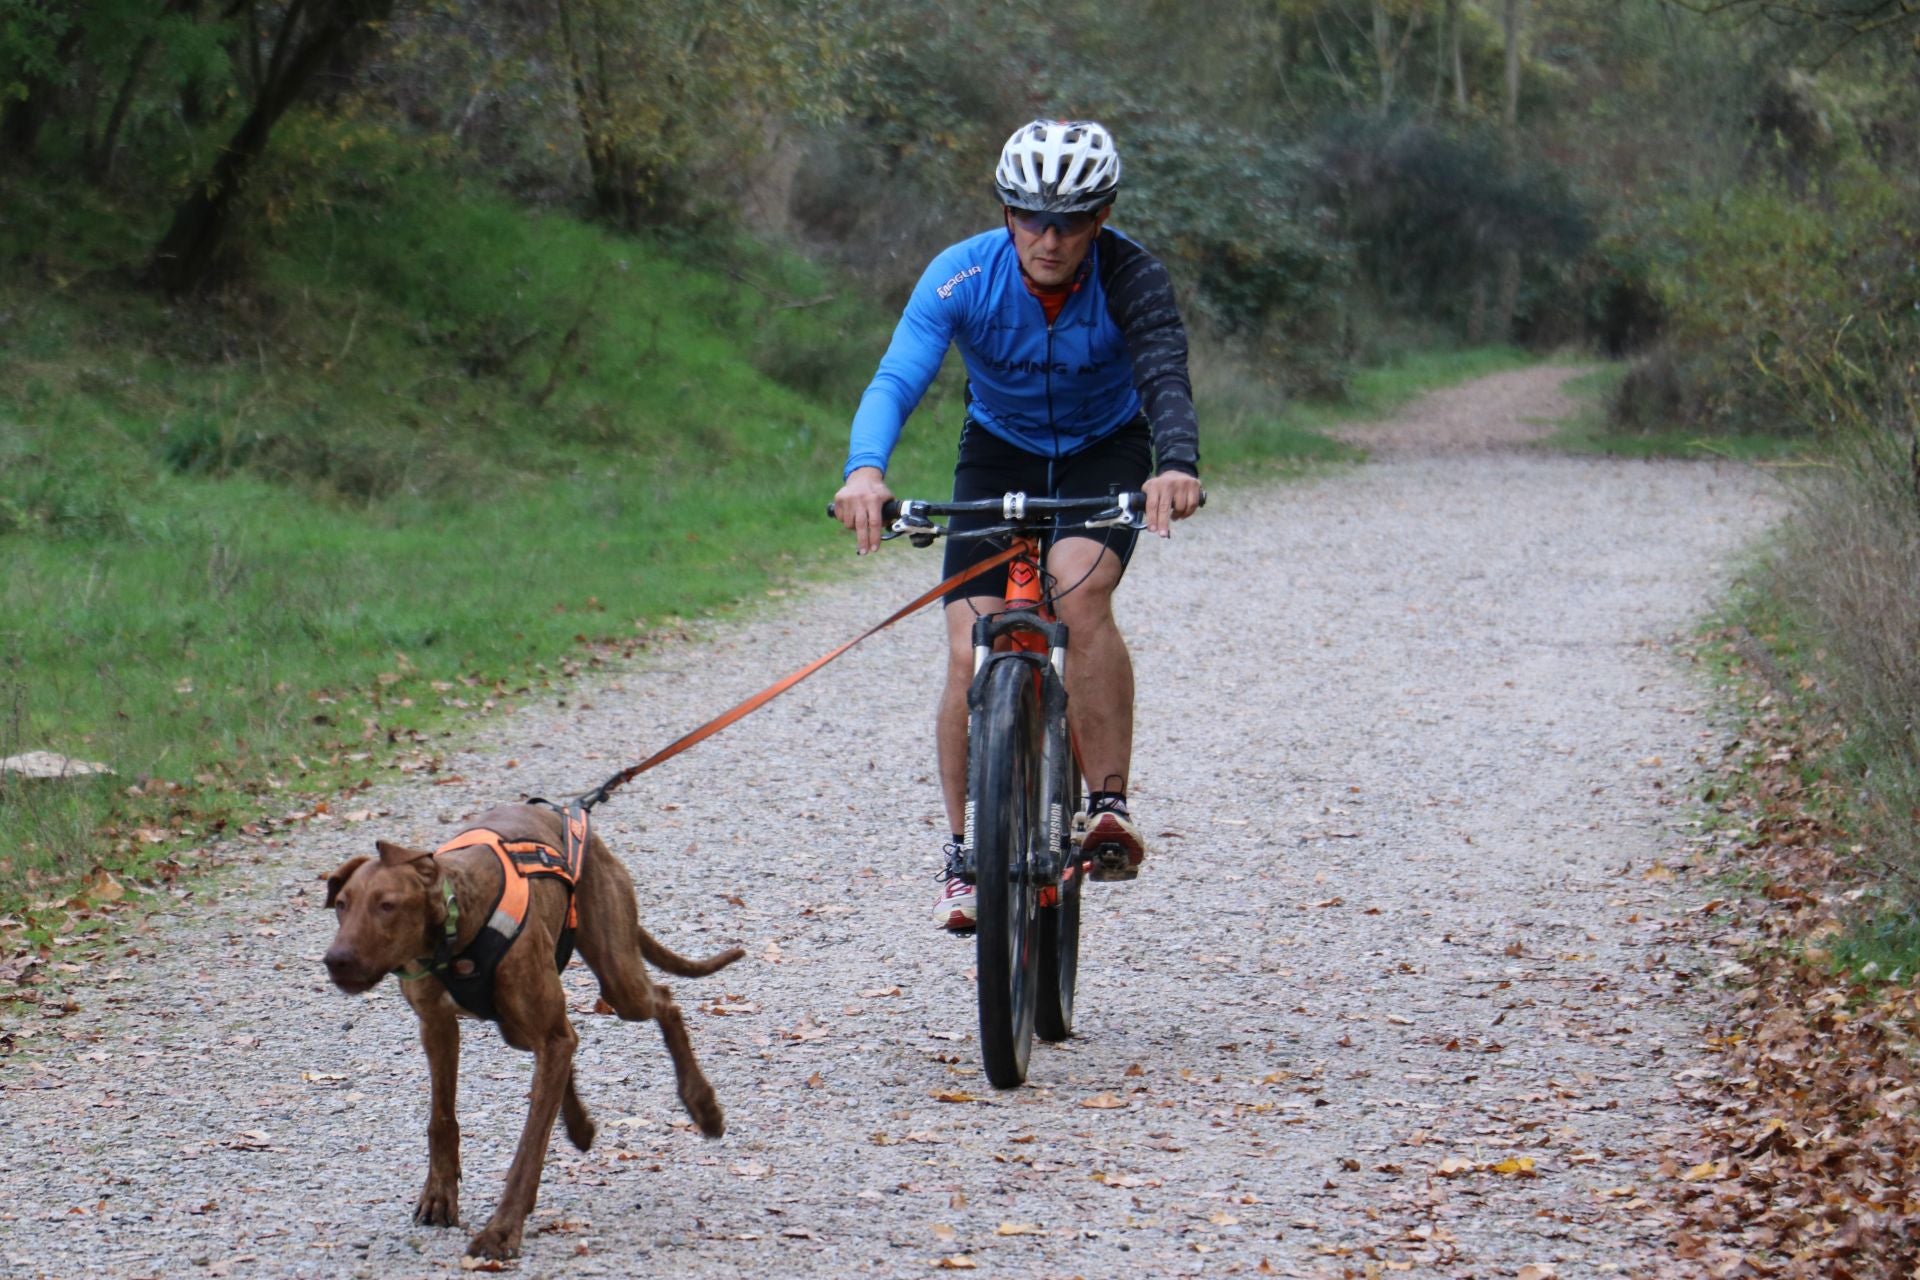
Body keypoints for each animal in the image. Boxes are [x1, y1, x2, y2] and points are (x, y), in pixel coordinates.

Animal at [322, 802, 741, 1258]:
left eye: (387, 905)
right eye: (342, 904)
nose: (335, 960)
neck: (456, 930)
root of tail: (574, 816)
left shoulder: (539, 1033)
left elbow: (529, 1148)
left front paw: (502, 1230)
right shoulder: (436, 1026)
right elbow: (441, 1119)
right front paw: (439, 1195)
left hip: (618, 981)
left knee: (663, 1001)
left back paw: (703, 1106)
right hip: (520, 1026)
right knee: (567, 1044)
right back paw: (580, 1124)